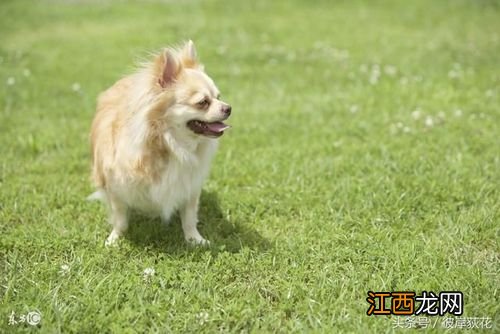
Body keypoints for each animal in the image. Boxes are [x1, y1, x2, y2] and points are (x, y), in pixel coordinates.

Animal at [88, 41, 232, 245]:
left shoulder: (189, 184)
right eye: (203, 102)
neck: (170, 143)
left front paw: (194, 240)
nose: (229, 108)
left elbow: (189, 216)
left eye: (219, 97)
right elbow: (120, 219)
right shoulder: (115, 186)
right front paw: (115, 239)